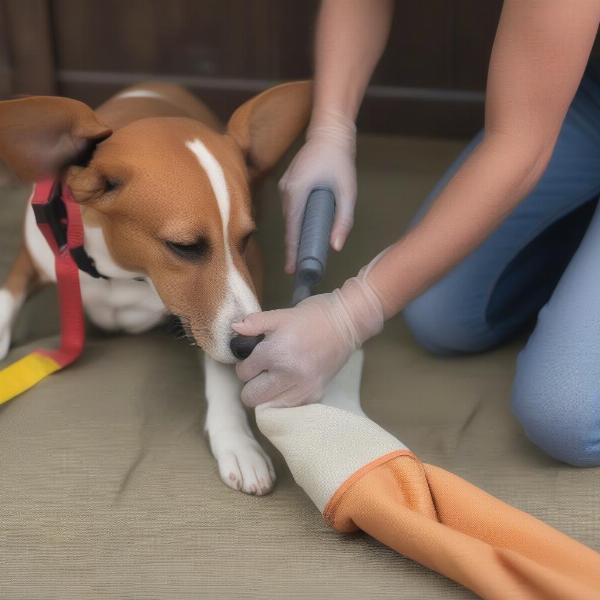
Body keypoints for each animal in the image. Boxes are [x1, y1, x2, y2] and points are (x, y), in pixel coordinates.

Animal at [0, 82, 310, 494]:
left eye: (246, 239)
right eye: (184, 246)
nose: (252, 345)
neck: (120, 271)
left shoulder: (243, 281)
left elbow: (221, 365)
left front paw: (236, 440)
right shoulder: (31, 257)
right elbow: (7, 298)